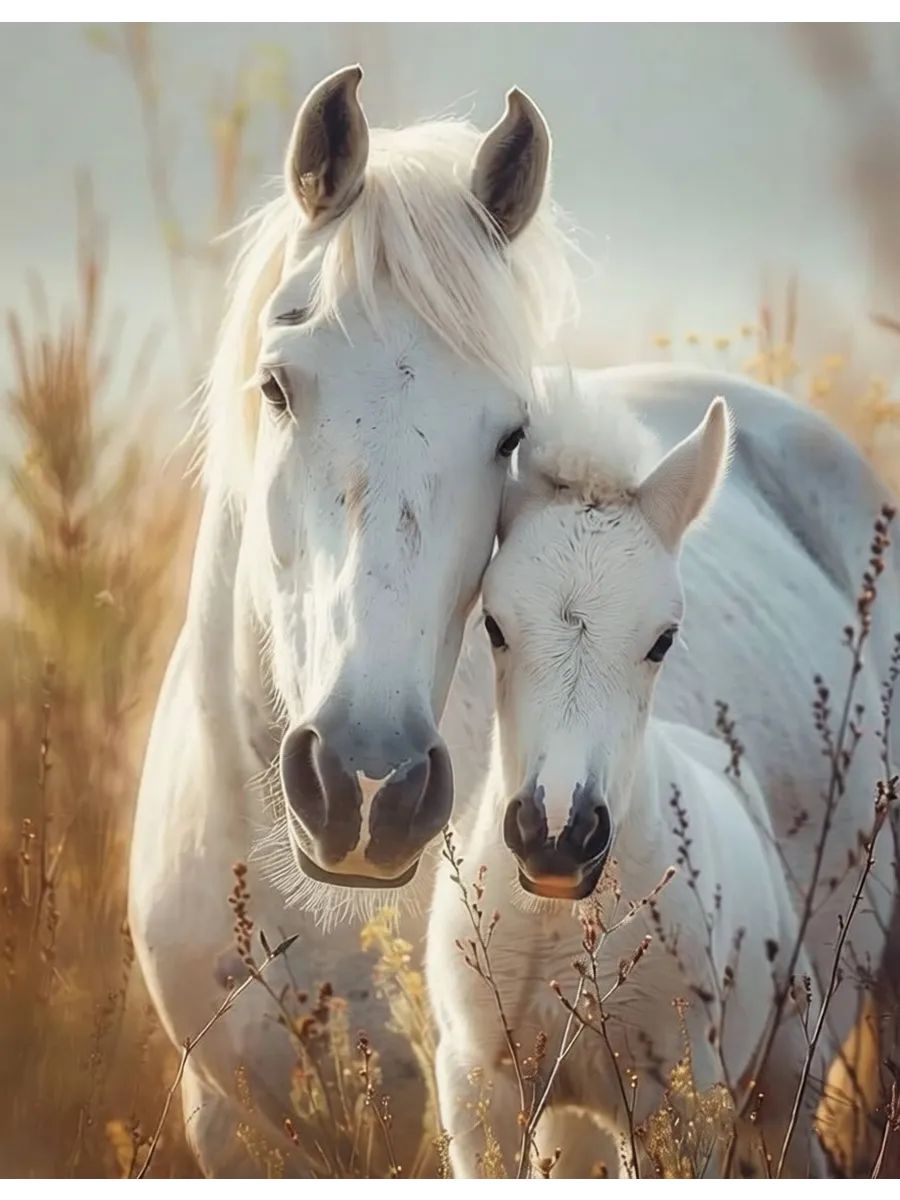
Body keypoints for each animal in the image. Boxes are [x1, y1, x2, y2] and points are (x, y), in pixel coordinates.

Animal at [427, 386, 831, 1178]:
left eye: (663, 639)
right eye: (493, 626)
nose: (557, 836)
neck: (558, 925)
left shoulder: (679, 1101)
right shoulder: (478, 1085)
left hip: (780, 1070)